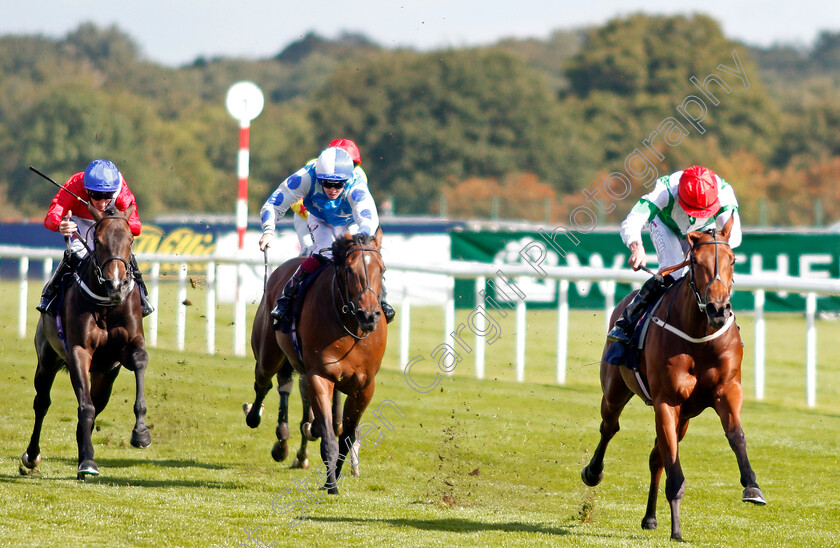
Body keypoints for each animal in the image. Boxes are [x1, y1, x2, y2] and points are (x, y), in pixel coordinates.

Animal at [19, 203, 150, 478]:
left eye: (131, 240)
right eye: (98, 241)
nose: (116, 285)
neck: (107, 304)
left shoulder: (128, 348)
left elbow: (140, 362)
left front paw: (141, 433)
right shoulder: (79, 351)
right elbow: (84, 407)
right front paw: (89, 461)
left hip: (105, 374)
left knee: (95, 402)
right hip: (47, 359)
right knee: (43, 403)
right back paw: (32, 456)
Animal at [243, 227, 388, 492]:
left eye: (381, 270)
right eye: (349, 270)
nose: (369, 315)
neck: (350, 329)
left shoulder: (364, 387)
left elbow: (345, 436)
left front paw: (338, 473)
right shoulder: (320, 376)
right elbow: (329, 437)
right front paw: (331, 484)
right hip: (268, 353)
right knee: (264, 383)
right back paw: (256, 418)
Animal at [580, 217, 764, 540]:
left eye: (733, 259)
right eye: (696, 261)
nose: (718, 310)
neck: (699, 337)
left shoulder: (726, 390)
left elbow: (736, 435)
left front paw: (752, 487)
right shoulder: (667, 401)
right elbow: (674, 468)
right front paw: (677, 530)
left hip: (686, 418)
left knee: (657, 456)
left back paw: (650, 518)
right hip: (615, 390)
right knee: (610, 427)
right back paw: (593, 472)